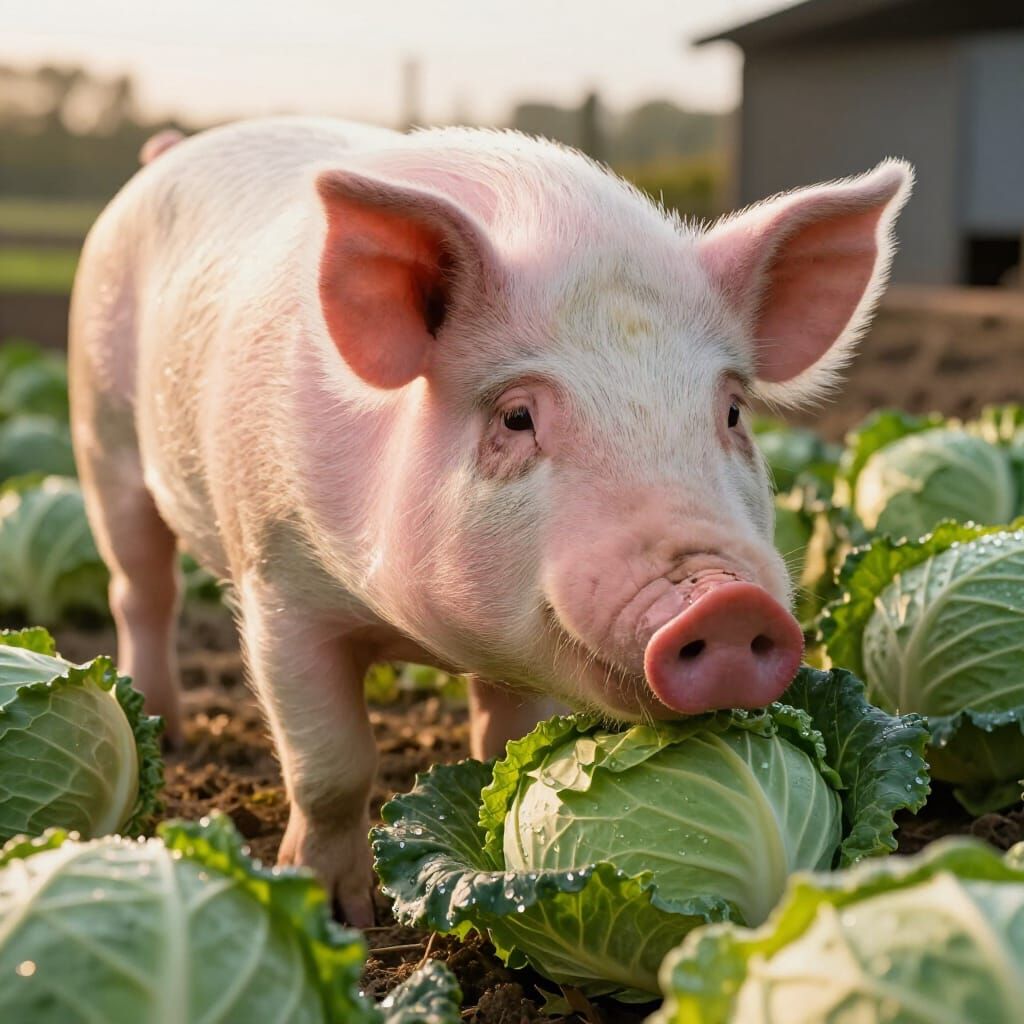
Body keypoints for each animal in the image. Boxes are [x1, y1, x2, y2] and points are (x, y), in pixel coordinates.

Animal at [69, 117, 912, 924]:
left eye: (732, 410)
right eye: (515, 417)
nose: (727, 600)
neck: (423, 635)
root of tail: (168, 152)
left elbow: (510, 738)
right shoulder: (278, 581)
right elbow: (331, 764)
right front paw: (338, 908)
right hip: (101, 433)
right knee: (140, 589)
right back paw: (166, 724)